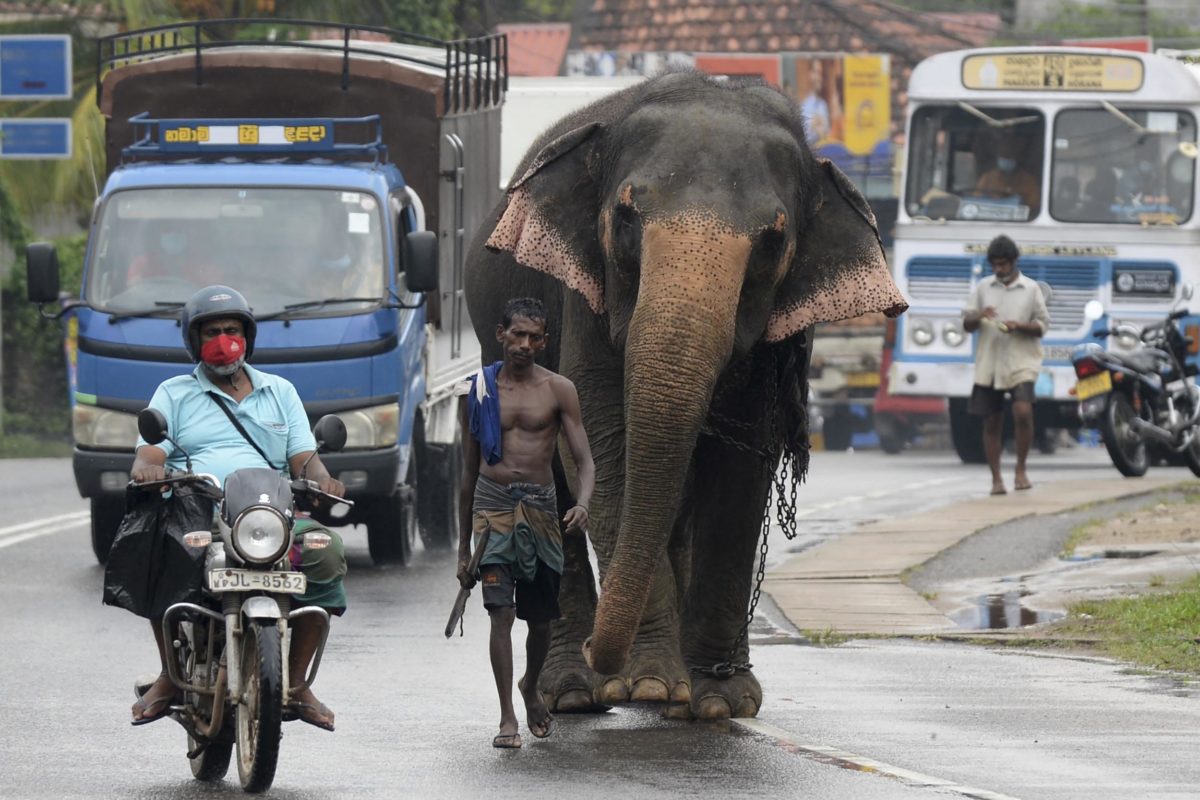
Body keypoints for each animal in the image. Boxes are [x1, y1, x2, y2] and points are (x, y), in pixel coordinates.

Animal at [463, 70, 902, 719]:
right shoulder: (584, 296)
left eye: (772, 240)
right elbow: (603, 439)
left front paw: (718, 700)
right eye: (624, 216)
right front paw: (652, 685)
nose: (603, 653)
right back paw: (574, 692)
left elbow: (744, 458)